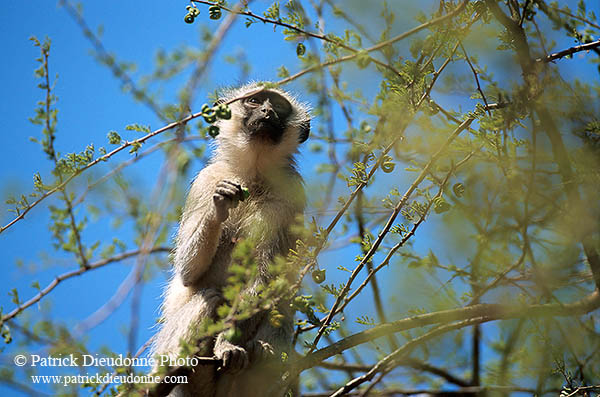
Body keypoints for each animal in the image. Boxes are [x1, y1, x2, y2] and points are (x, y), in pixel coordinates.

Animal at [151, 81, 310, 396]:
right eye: (255, 101)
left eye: (279, 107)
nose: (267, 111)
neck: (253, 174)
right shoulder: (205, 180)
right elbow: (188, 271)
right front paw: (219, 206)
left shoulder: (290, 193)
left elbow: (264, 279)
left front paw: (228, 345)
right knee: (211, 297)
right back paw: (165, 378)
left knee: (276, 307)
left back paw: (260, 352)